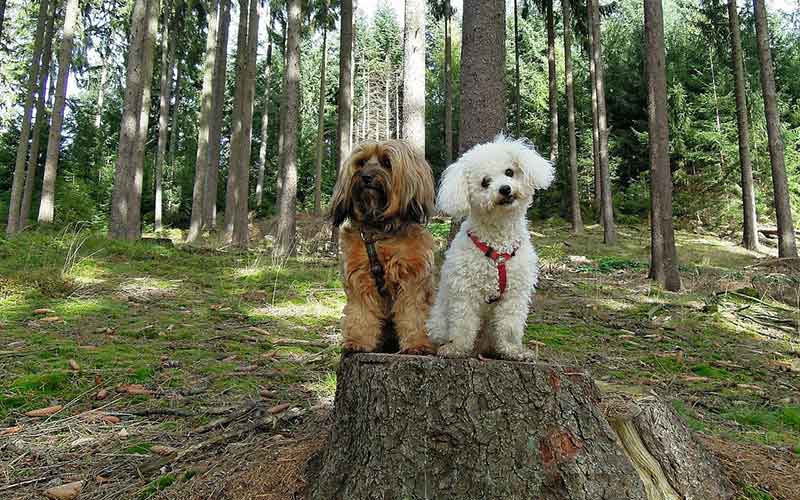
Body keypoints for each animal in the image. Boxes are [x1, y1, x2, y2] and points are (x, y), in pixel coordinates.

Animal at [328, 139, 434, 354]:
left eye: (386, 162)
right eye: (361, 163)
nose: (366, 177)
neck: (380, 231)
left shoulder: (413, 278)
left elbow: (414, 314)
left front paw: (417, 344)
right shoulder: (360, 276)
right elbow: (361, 313)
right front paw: (357, 341)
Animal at [428, 135, 552, 362]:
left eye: (509, 172)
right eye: (485, 182)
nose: (505, 189)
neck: (499, 244)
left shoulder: (514, 295)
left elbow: (509, 326)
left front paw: (512, 351)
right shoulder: (465, 292)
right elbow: (463, 324)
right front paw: (457, 348)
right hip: (438, 321)